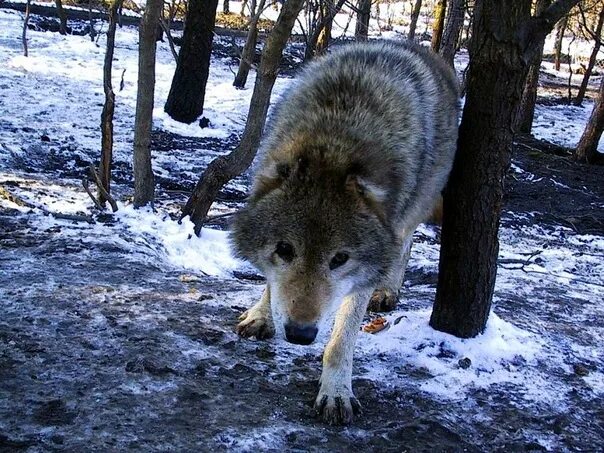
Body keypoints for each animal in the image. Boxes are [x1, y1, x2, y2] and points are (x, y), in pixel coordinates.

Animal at [230, 39, 458, 424]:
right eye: (285, 250)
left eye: (340, 259)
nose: (301, 334)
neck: (336, 139)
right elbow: (272, 283)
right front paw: (262, 314)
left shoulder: (363, 271)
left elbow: (341, 342)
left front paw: (336, 392)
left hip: (413, 208)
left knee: (404, 245)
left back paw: (387, 290)